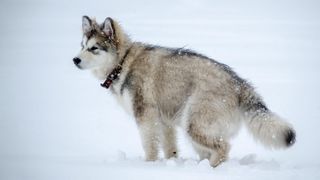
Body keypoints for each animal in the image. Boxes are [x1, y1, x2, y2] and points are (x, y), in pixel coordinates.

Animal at [72, 16, 296, 167]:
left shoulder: (146, 117)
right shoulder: (164, 122)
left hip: (193, 122)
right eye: (82, 45)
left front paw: (148, 166)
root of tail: (241, 85)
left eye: (94, 48)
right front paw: (171, 164)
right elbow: (170, 148)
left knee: (223, 148)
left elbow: (149, 146)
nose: (75, 59)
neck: (123, 62)